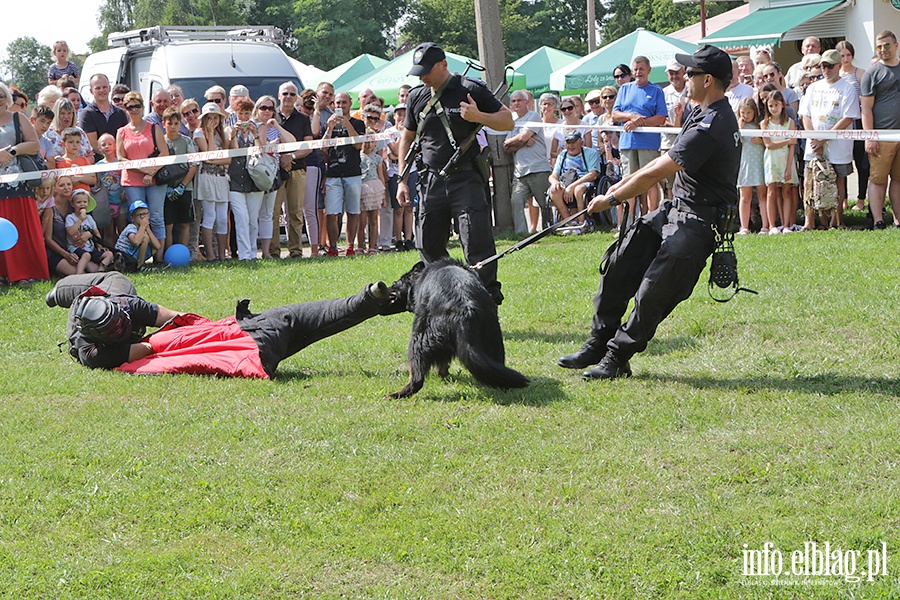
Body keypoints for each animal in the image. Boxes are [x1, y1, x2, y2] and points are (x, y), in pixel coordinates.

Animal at [384, 258, 528, 396]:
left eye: (395, 283)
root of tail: (465, 310)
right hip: (493, 339)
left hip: (420, 339)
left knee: (417, 377)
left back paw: (397, 394)